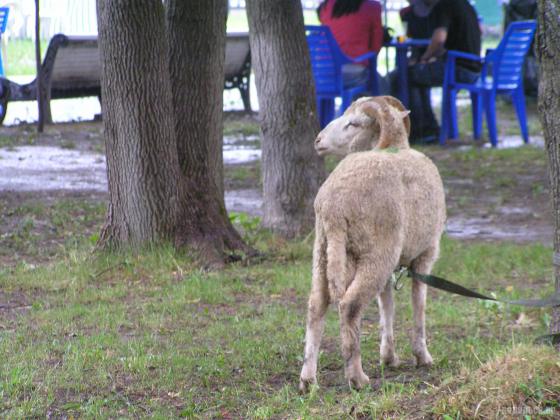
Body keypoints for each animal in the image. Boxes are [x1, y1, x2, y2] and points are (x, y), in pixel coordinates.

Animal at [298, 95, 446, 390]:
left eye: (353, 124)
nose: (318, 140)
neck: (394, 145)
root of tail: (333, 206)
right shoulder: (426, 253)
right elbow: (419, 304)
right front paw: (422, 356)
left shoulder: (393, 264)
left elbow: (386, 305)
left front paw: (388, 357)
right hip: (375, 253)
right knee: (349, 305)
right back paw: (357, 378)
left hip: (324, 252)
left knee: (316, 305)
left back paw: (308, 379)